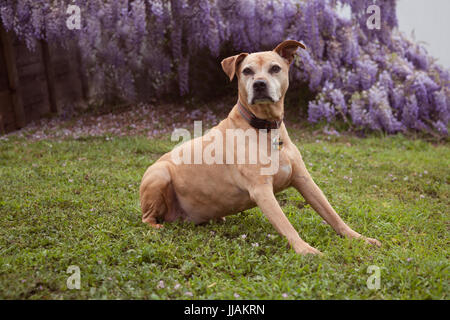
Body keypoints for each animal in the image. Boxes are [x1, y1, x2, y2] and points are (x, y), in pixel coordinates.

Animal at [141, 40, 380, 255]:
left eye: (275, 68)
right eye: (247, 71)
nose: (259, 84)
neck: (266, 128)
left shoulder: (304, 180)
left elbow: (332, 214)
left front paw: (358, 238)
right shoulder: (262, 190)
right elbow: (285, 224)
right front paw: (305, 250)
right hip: (159, 174)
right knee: (146, 217)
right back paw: (156, 225)